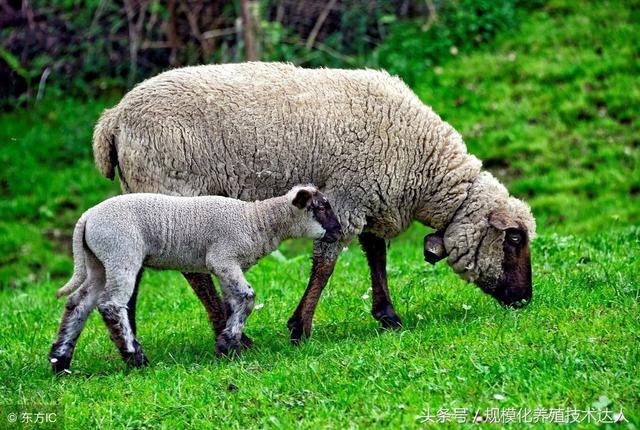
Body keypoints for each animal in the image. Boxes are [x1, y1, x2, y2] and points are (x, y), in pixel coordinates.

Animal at [47, 185, 342, 372]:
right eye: (321, 207)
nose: (339, 232)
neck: (257, 221)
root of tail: (86, 218)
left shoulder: (225, 266)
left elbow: (233, 302)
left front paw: (231, 345)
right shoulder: (223, 258)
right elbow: (247, 297)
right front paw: (227, 345)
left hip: (98, 262)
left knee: (79, 303)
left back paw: (60, 362)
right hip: (121, 253)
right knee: (110, 305)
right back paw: (136, 359)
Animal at [92, 62, 536, 346]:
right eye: (514, 239)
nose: (525, 300)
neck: (425, 165)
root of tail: (113, 119)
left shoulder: (369, 196)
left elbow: (376, 255)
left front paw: (388, 315)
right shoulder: (347, 197)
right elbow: (326, 263)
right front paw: (300, 328)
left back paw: (134, 340)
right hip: (173, 192)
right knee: (193, 272)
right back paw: (231, 335)